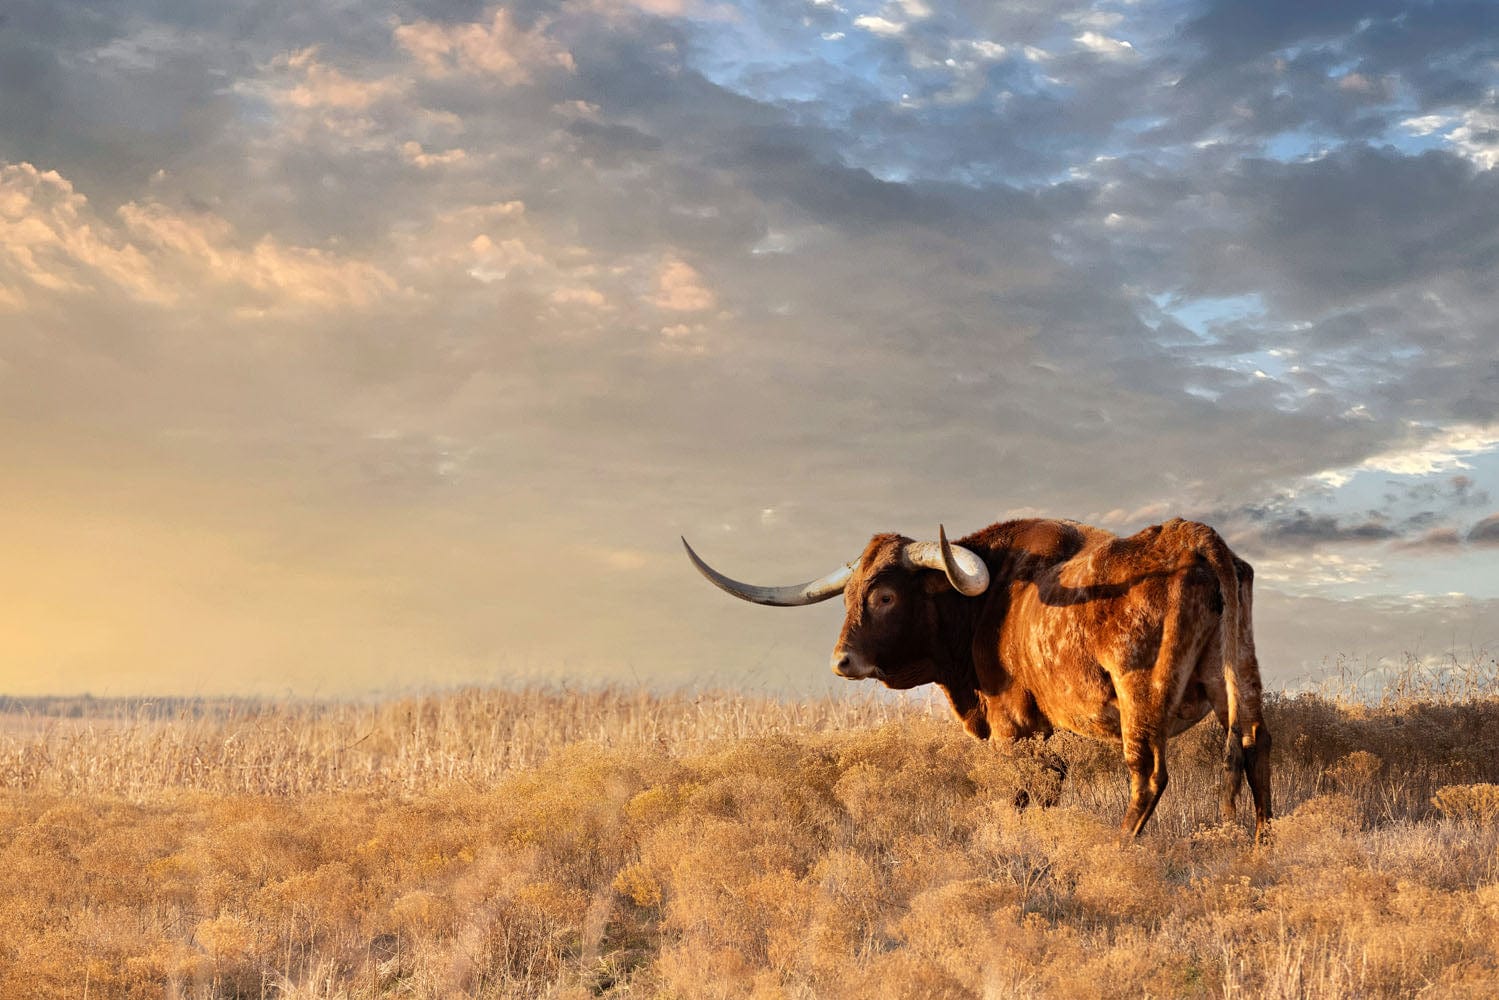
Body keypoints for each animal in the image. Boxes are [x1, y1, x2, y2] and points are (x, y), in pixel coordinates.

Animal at [683, 518, 1271, 839]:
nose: (841, 661)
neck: (990, 605)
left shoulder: (1014, 723)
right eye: (848, 596)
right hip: (1238, 678)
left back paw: (1118, 844)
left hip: (1140, 695)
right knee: (1254, 748)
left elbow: (1026, 790)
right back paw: (1262, 843)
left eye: (886, 596)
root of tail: (1196, 539)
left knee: (1148, 774)